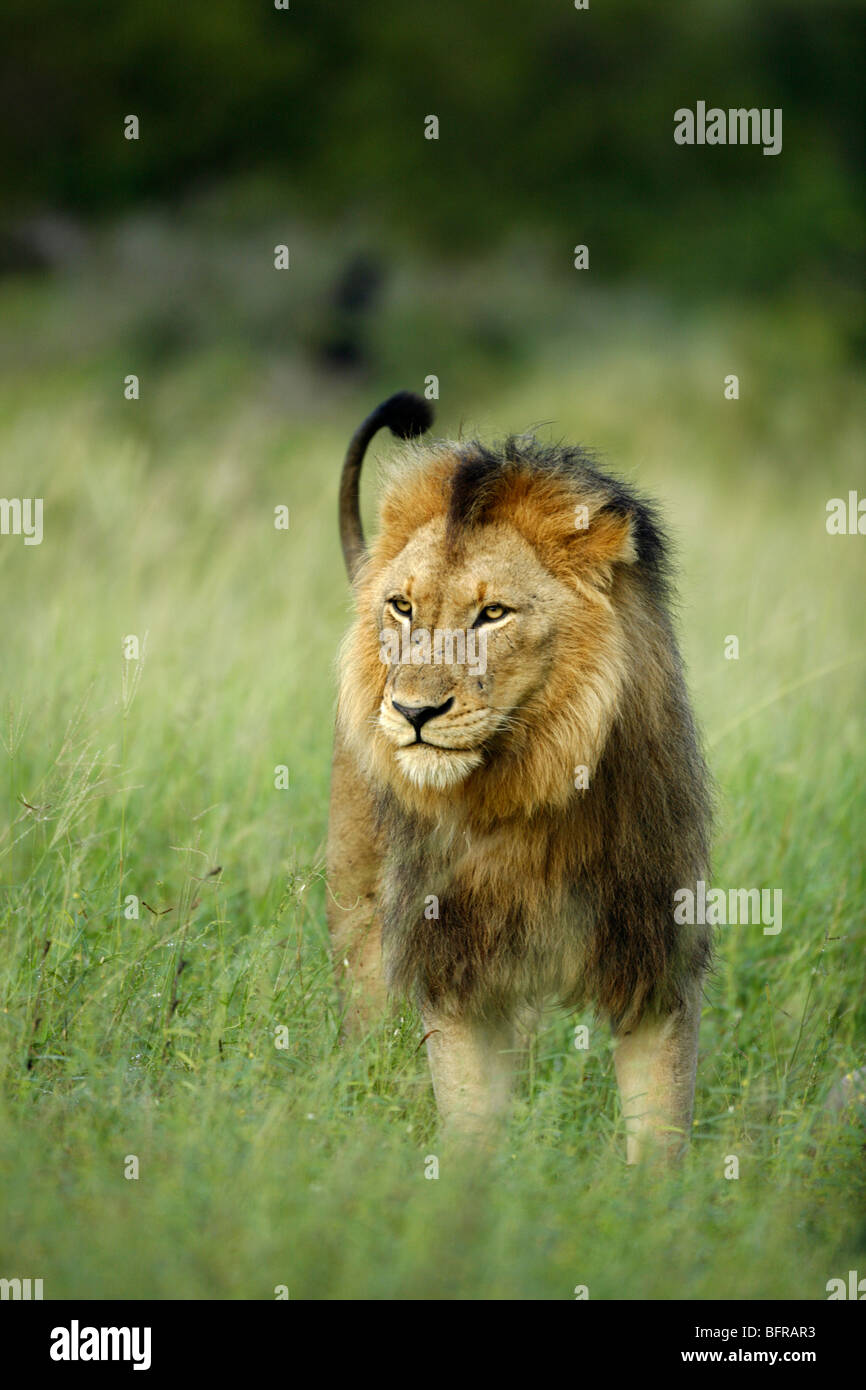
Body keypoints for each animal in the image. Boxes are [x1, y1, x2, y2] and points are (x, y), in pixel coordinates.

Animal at [327, 391, 712, 1162]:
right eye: (402, 607)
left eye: (493, 614)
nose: (413, 711)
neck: (527, 791)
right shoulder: (452, 969)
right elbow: (470, 1128)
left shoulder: (656, 961)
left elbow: (659, 1138)